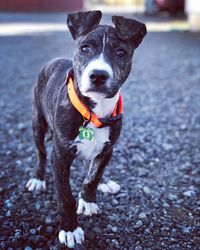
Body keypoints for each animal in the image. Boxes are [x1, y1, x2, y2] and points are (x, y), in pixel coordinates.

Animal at [25, 10, 146, 248]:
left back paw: (105, 183)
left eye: (121, 52)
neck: (94, 111)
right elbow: (65, 195)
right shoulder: (60, 155)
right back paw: (38, 178)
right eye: (85, 48)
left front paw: (88, 200)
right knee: (41, 153)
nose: (98, 75)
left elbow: (93, 176)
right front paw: (70, 229)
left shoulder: (108, 148)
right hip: (38, 123)